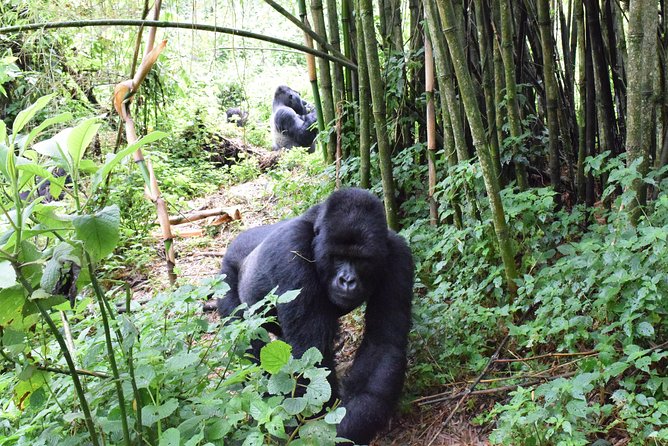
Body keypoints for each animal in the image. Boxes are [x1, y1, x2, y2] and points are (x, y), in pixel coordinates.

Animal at [217, 187, 412, 442]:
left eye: (361, 260)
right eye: (338, 257)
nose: (347, 280)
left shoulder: (398, 254)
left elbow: (382, 344)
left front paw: (352, 424)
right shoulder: (292, 251)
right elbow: (308, 357)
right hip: (225, 279)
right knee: (249, 340)